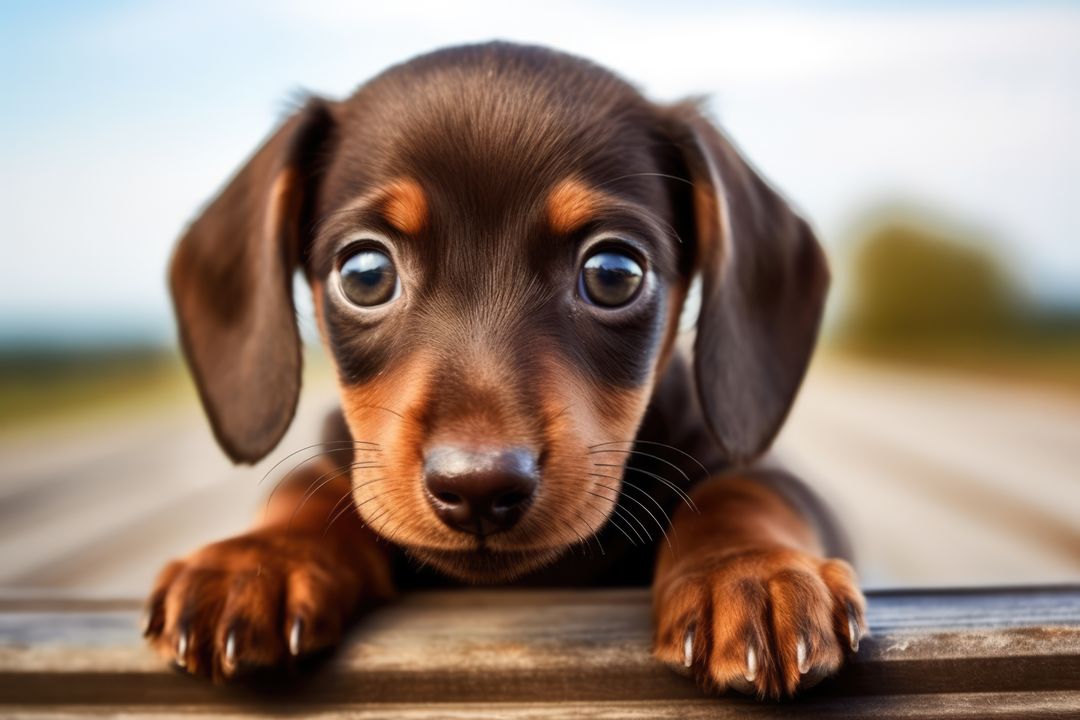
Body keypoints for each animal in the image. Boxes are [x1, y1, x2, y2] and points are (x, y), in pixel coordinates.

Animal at [147, 43, 864, 699]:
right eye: (364, 273)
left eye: (614, 273)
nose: (478, 487)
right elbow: (312, 489)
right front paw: (261, 559)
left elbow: (746, 489)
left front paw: (749, 570)